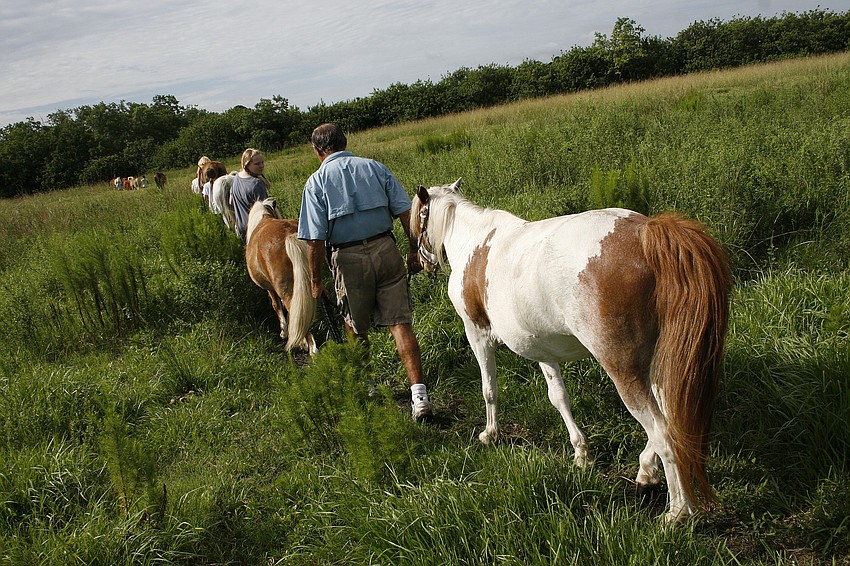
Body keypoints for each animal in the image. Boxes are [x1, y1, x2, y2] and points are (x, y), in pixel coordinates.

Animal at [410, 179, 732, 523]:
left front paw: (490, 433)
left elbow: (489, 389)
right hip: (657, 365)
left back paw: (677, 512)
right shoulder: (541, 348)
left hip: (623, 369)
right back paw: (647, 470)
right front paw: (581, 453)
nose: (418, 263)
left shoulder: (477, 333)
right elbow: (558, 397)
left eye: (417, 220)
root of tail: (644, 232)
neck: (475, 241)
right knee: (668, 419)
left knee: (663, 432)